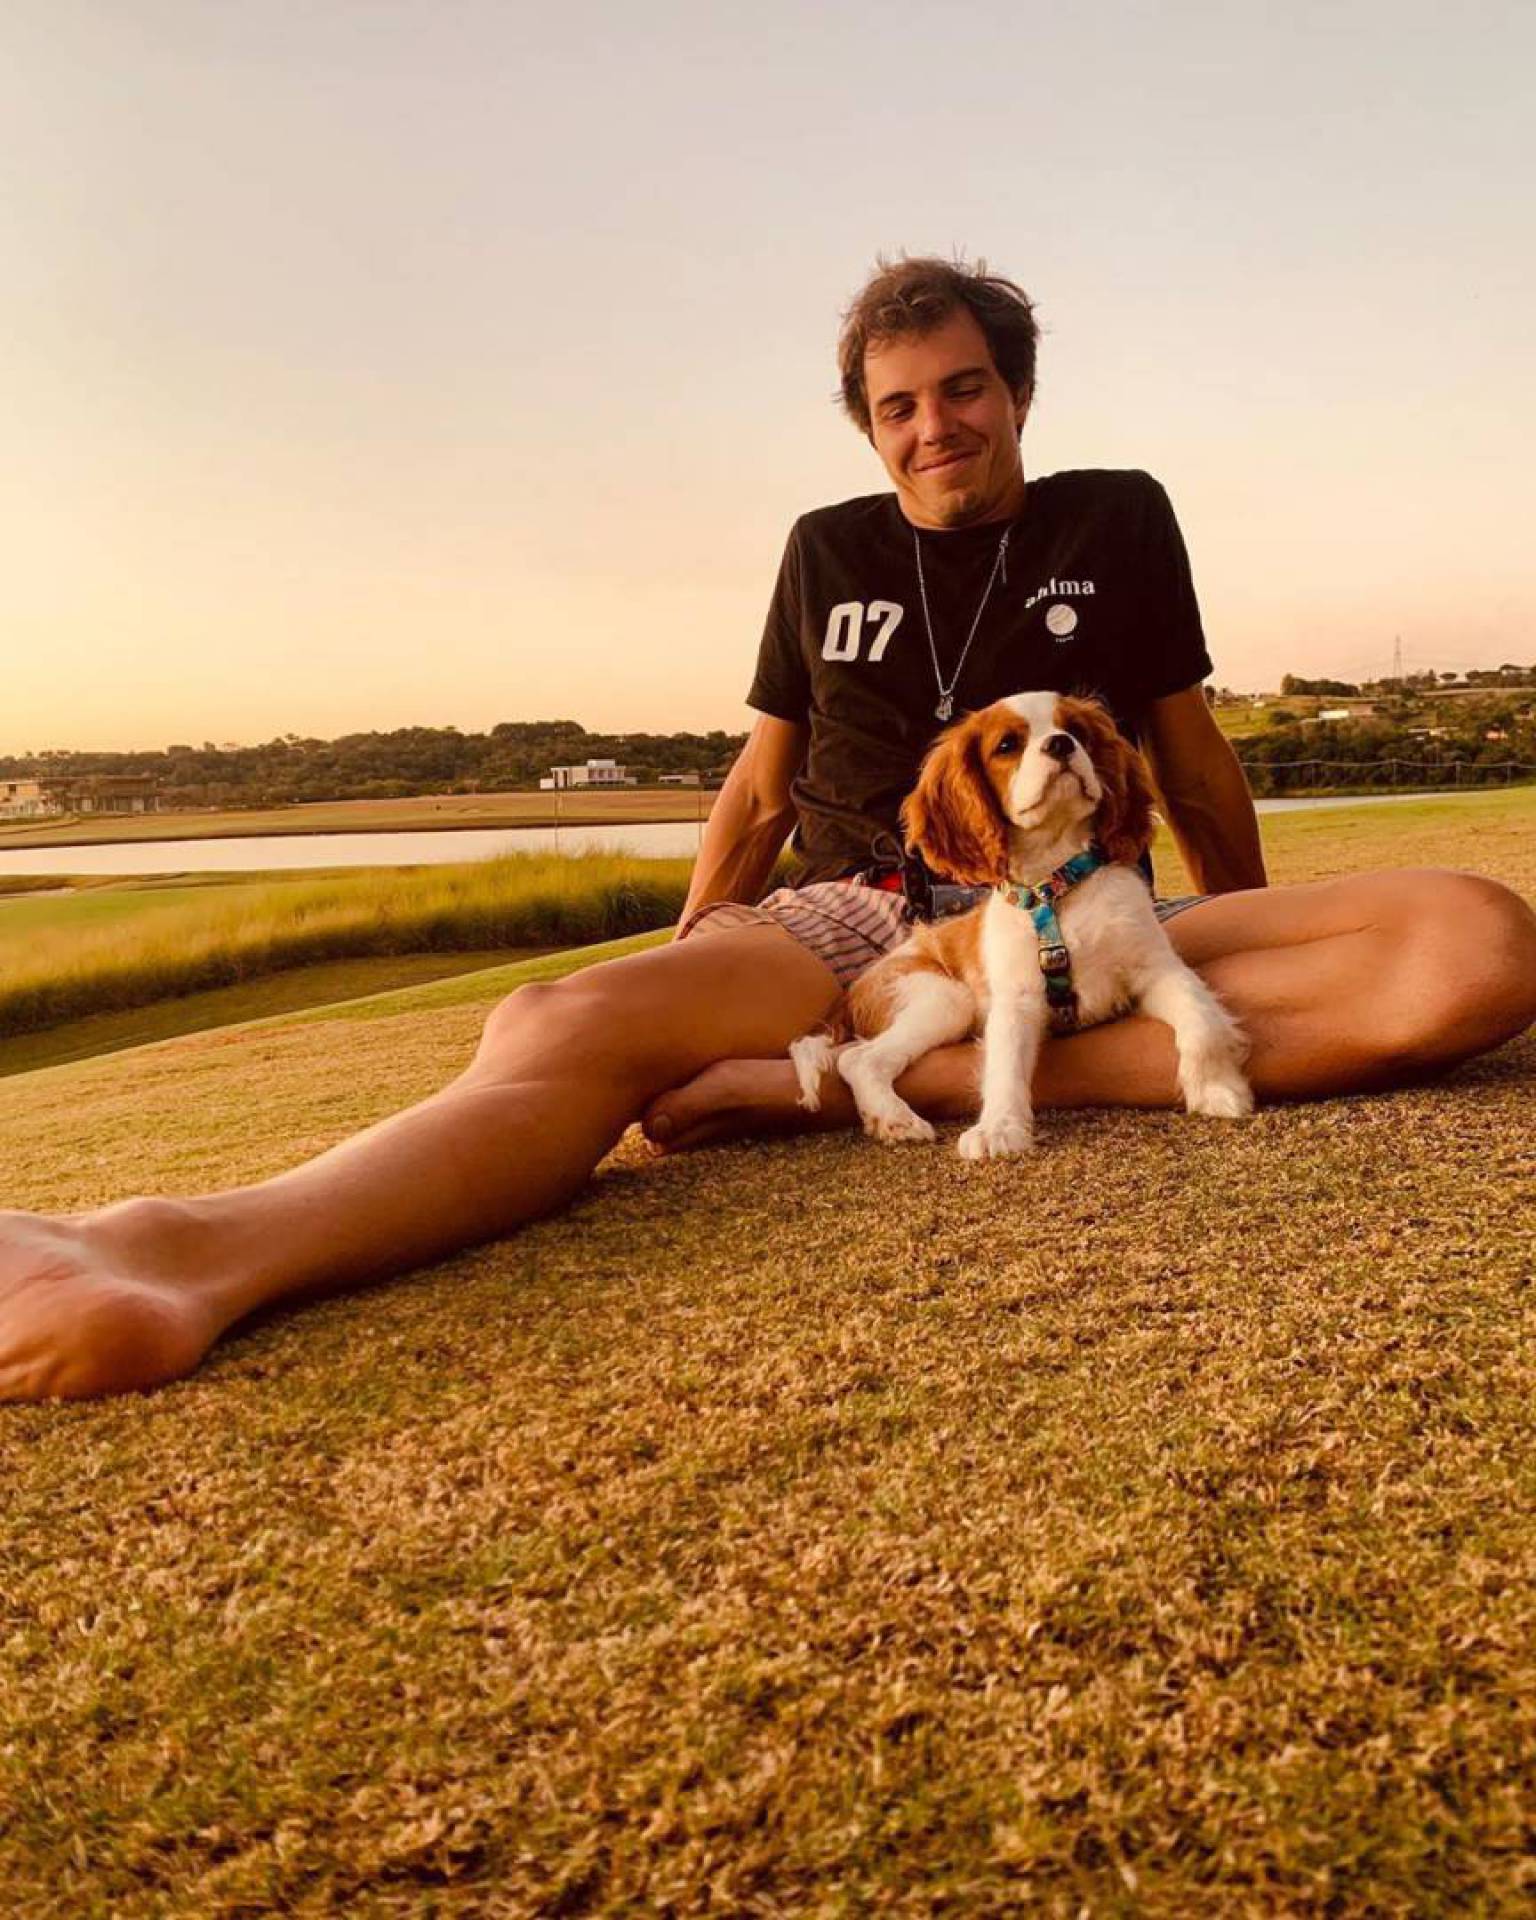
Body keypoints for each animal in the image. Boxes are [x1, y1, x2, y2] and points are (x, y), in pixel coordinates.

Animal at [789, 690, 1253, 1158]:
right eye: (1007, 745)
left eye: (1077, 730)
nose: (1062, 744)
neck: (1056, 886)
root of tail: (851, 992)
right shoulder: (1017, 998)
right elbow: (1005, 1065)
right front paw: (998, 1128)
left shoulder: (1156, 968)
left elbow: (1201, 1022)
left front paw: (1216, 1090)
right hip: (944, 997)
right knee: (856, 1058)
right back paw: (895, 1119)